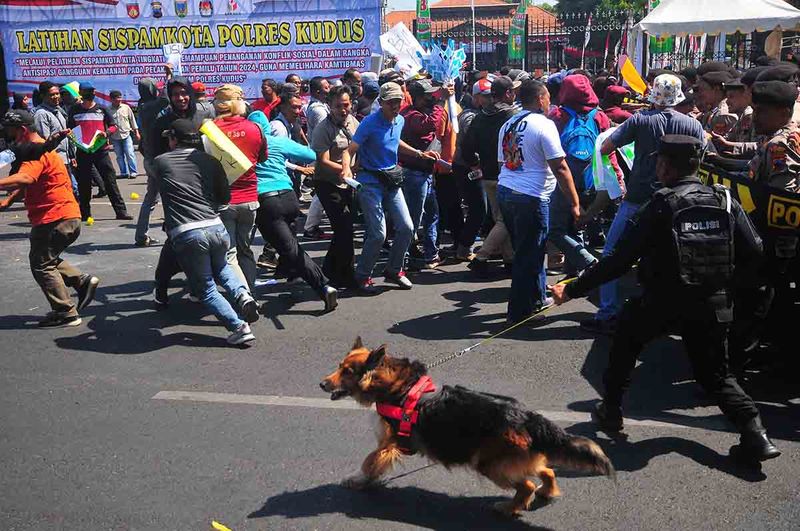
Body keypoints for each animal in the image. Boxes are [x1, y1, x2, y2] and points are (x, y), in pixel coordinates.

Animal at [322, 338, 616, 516]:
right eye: (339, 366)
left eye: (348, 371)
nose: (322, 384)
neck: (397, 386)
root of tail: (527, 417)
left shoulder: (390, 442)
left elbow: (370, 460)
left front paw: (358, 480)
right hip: (517, 458)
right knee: (546, 471)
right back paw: (547, 492)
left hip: (490, 464)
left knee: (527, 486)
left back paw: (509, 507)